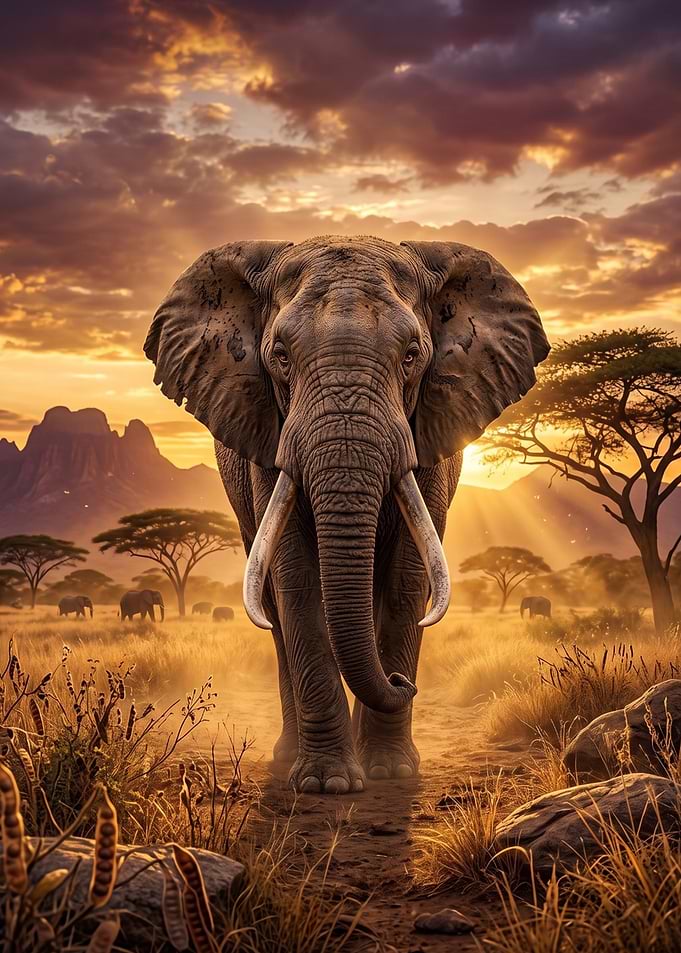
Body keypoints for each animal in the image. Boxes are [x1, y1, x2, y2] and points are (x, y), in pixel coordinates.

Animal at [145, 236, 549, 794]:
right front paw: (327, 784)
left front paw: (391, 772)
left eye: (412, 355)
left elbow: (407, 579)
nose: (404, 683)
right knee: (272, 609)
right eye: (279, 355)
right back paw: (287, 758)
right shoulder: (268, 440)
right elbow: (295, 579)